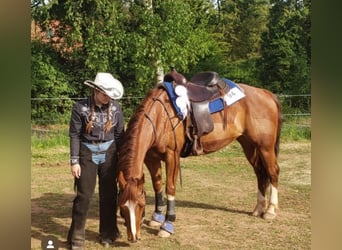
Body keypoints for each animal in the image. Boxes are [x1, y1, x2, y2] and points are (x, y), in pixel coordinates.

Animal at [117, 69, 284, 241]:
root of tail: (266, 94)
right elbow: (157, 185)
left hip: (265, 147)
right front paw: (156, 217)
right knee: (260, 173)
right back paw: (258, 208)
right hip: (249, 145)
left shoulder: (172, 155)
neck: (160, 116)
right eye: (122, 207)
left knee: (273, 172)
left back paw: (270, 210)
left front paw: (167, 225)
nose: (133, 237)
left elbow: (170, 188)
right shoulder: (152, 158)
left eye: (141, 205)